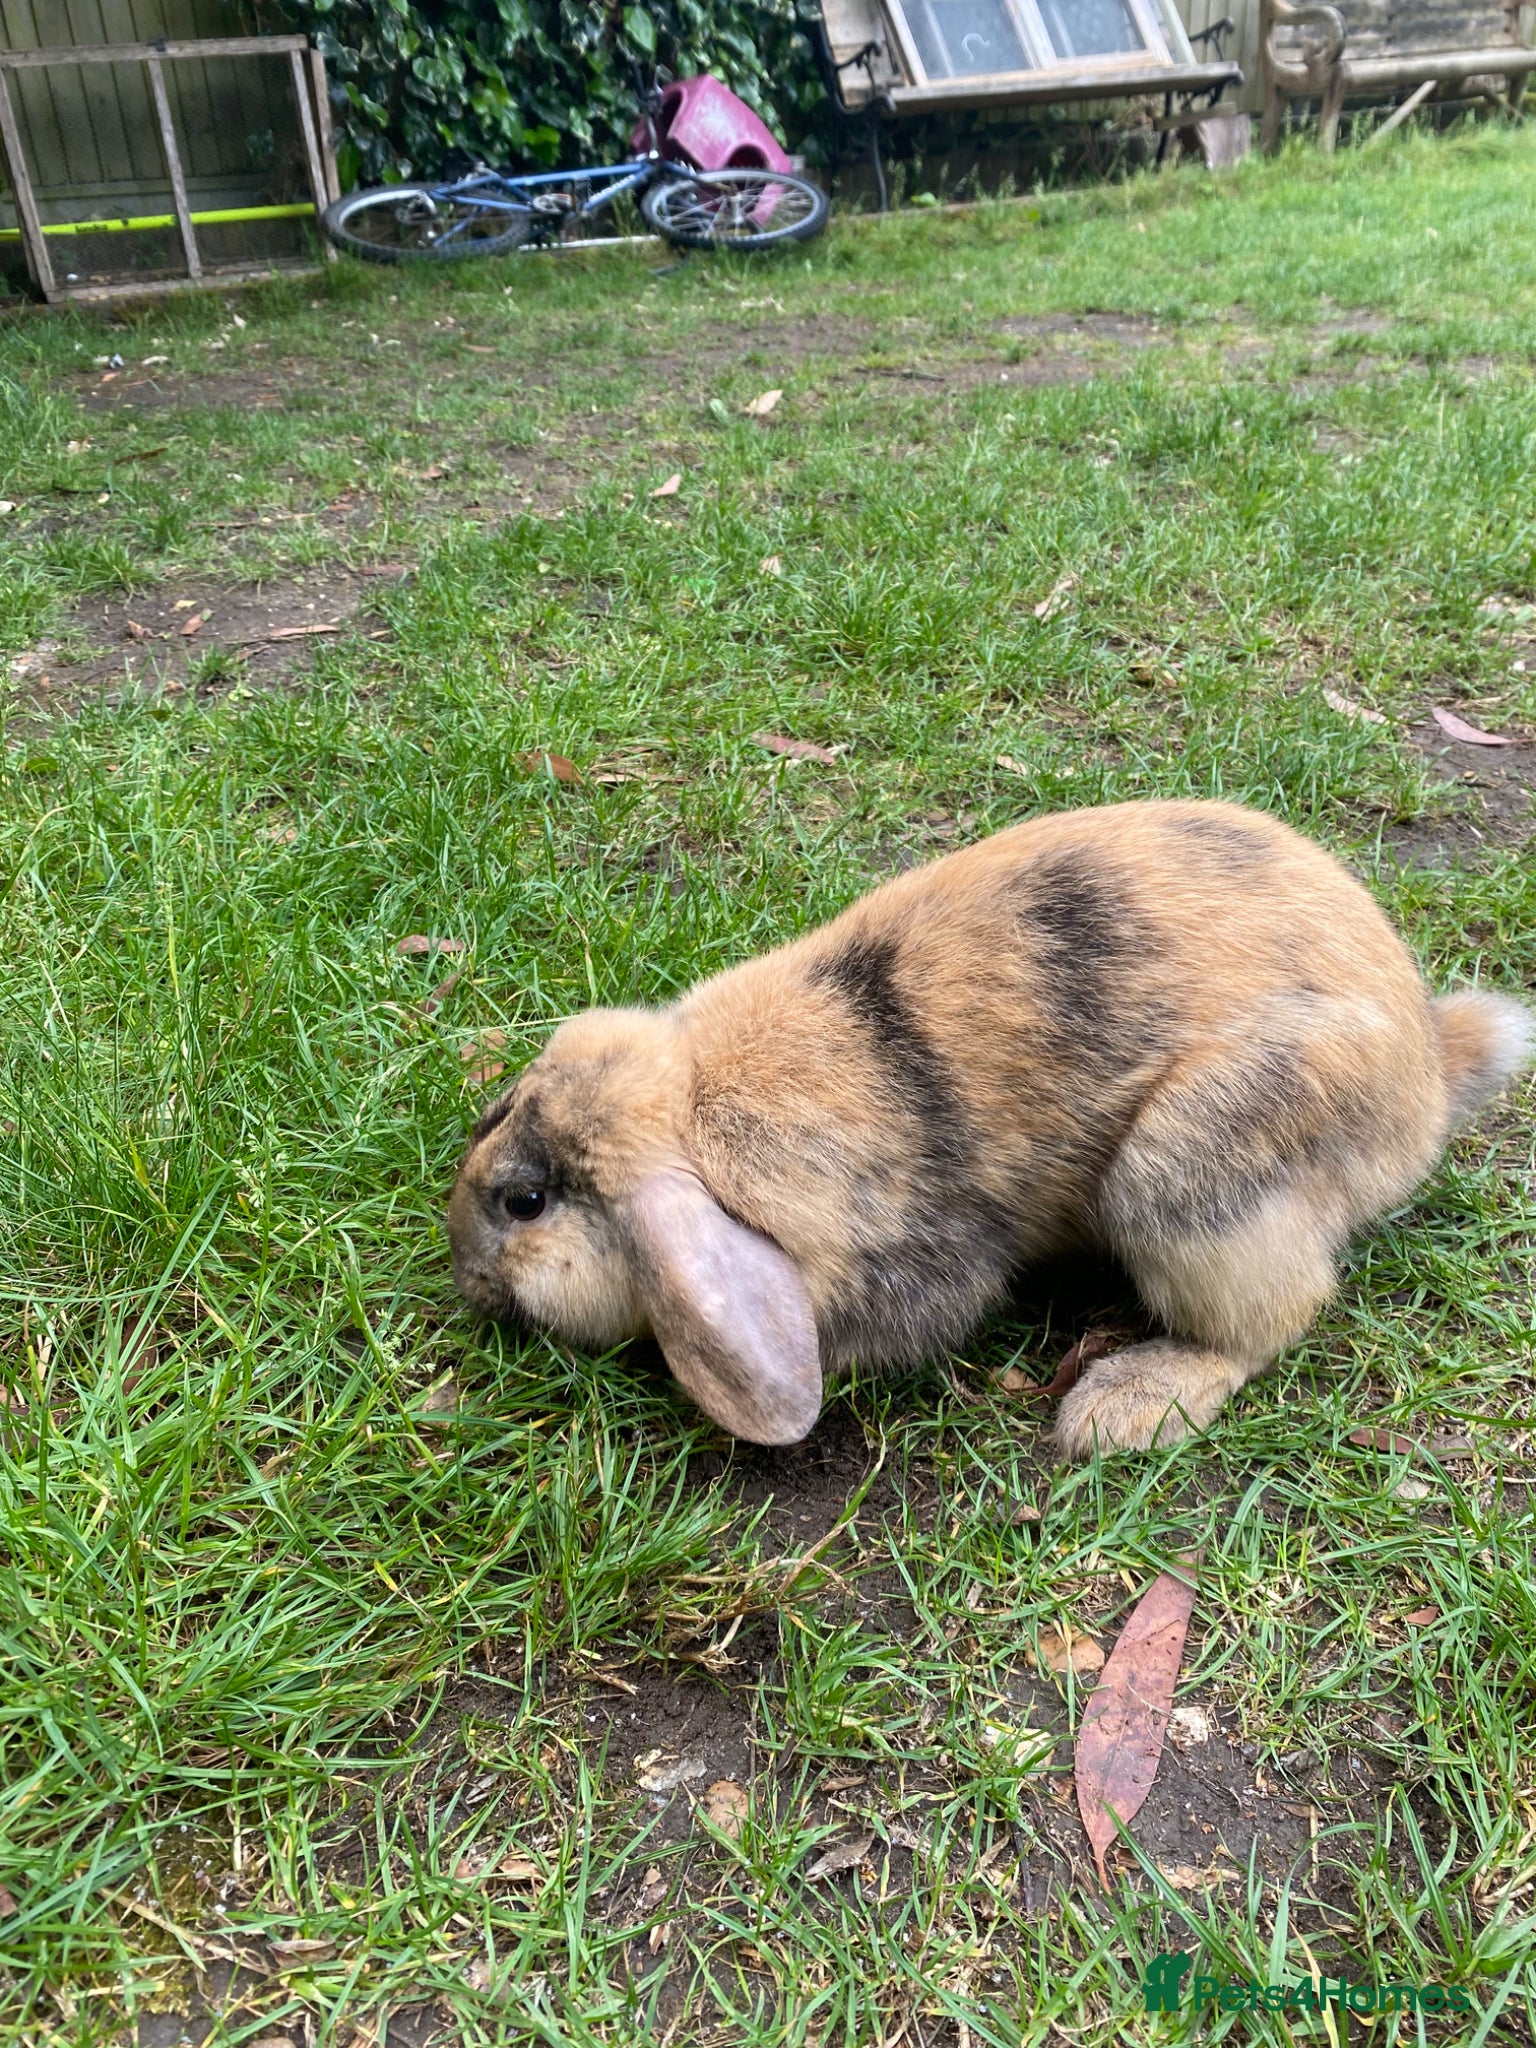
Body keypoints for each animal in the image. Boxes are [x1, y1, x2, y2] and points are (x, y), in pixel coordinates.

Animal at [447, 798, 1532, 1458]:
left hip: (1192, 1172)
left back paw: (1124, 1405)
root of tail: (1426, 1085)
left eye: (525, 1201)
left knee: (1271, 1318)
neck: (693, 1098)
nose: (462, 1277)